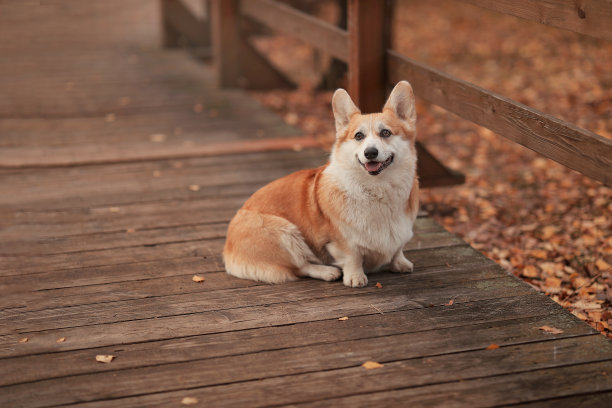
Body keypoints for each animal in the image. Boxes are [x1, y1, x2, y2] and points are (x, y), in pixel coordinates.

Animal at [222, 80, 418, 286]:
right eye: (358, 136)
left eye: (386, 132)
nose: (370, 152)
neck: (377, 188)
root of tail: (227, 247)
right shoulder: (342, 241)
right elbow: (353, 256)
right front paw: (355, 277)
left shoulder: (401, 232)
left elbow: (397, 249)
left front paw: (400, 263)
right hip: (284, 233)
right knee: (300, 267)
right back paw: (327, 272)